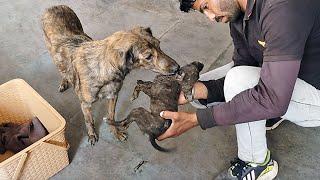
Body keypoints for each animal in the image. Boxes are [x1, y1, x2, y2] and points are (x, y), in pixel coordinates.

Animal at [41, 4, 179, 145]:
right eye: (148, 56)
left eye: (159, 44)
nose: (177, 68)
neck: (102, 69)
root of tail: (55, 6)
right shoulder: (85, 104)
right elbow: (89, 120)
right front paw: (92, 134)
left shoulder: (113, 96)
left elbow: (111, 115)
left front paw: (116, 133)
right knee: (62, 69)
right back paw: (64, 81)